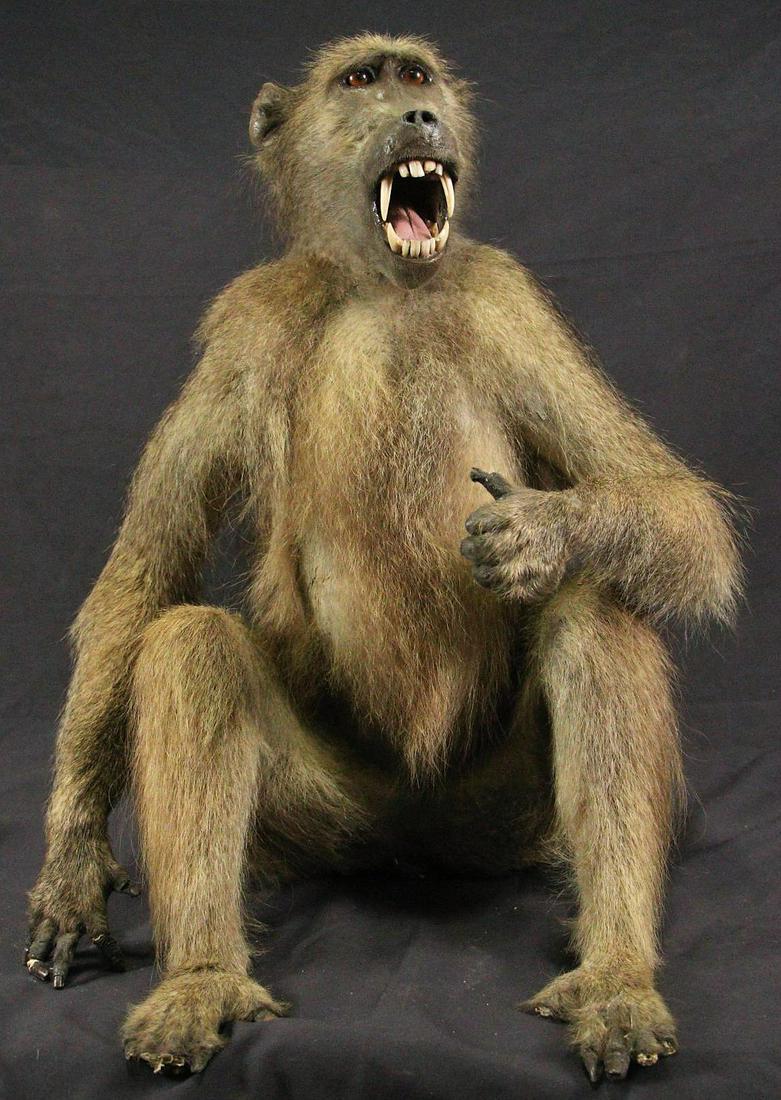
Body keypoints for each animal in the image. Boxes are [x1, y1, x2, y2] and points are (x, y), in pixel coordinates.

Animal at [24, 33, 742, 1084]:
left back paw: (614, 975)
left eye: (419, 76)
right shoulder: (243, 331)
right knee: (190, 644)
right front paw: (73, 859)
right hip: (322, 813)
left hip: (504, 814)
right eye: (363, 81)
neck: (381, 293)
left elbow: (683, 517)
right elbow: (145, 583)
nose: (420, 117)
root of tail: (412, 833)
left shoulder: (505, 303)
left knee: (594, 607)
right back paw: (200, 980)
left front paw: (545, 531)